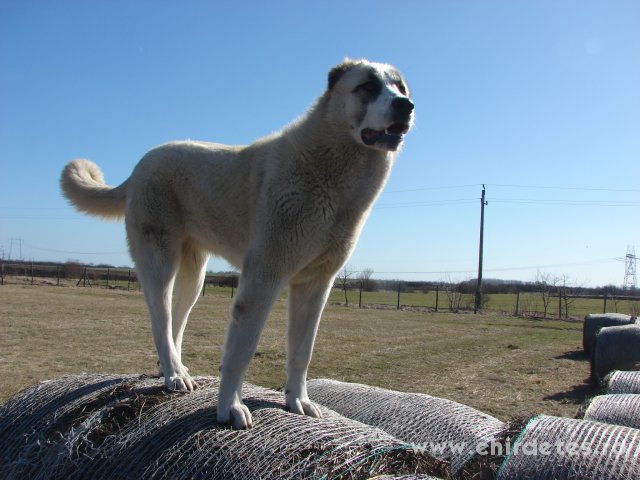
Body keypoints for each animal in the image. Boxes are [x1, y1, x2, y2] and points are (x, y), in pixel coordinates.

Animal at [61, 58, 416, 430]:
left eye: (400, 87)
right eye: (367, 86)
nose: (406, 106)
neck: (330, 163)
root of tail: (139, 167)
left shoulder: (315, 286)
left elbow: (302, 351)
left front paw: (298, 401)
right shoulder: (262, 278)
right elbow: (241, 351)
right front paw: (229, 407)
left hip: (194, 277)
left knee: (176, 320)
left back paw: (174, 369)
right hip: (159, 262)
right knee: (160, 320)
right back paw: (173, 374)